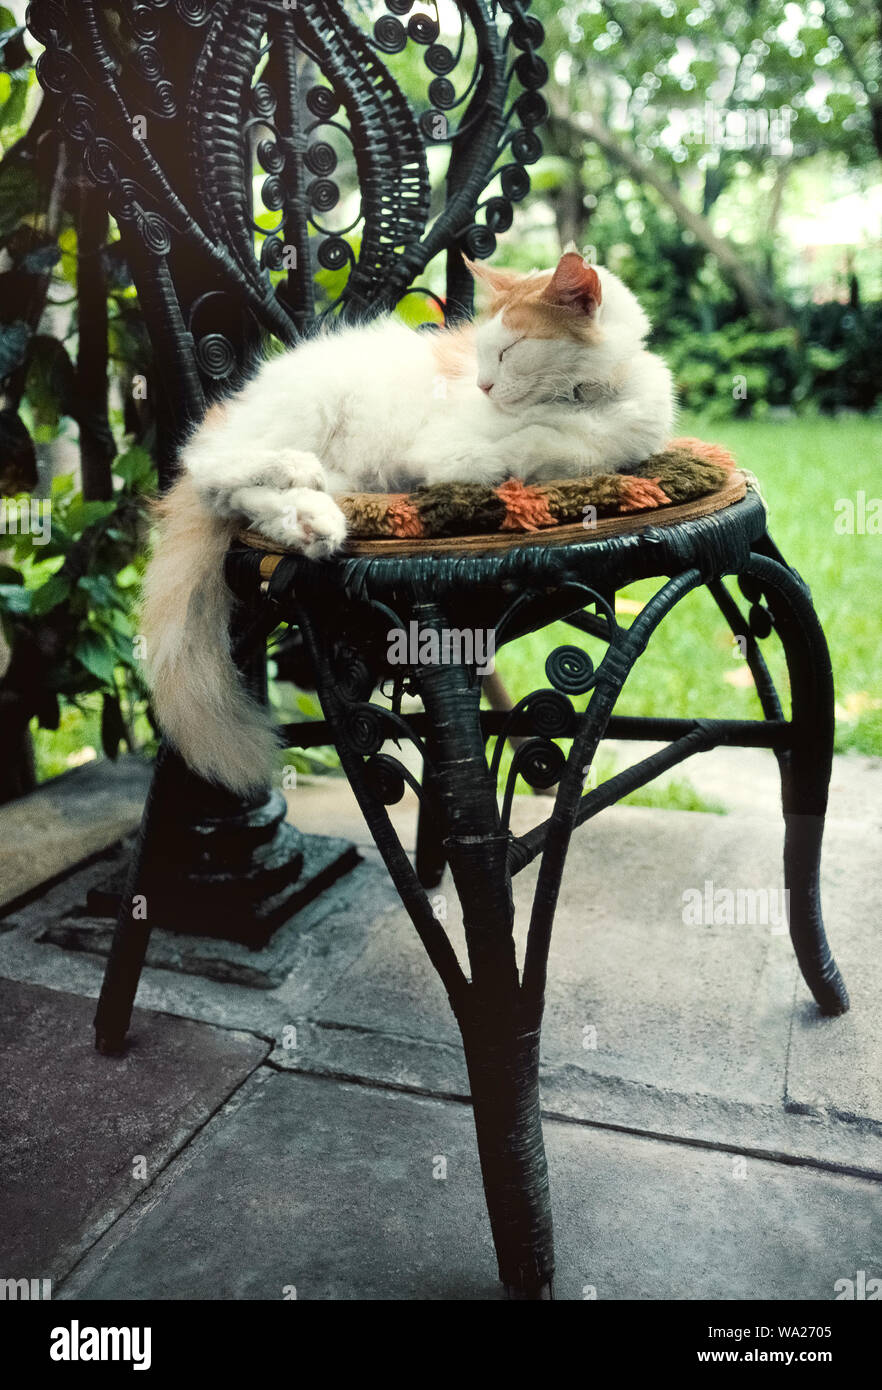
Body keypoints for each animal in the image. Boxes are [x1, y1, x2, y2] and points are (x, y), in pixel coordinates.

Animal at [145, 250, 672, 795]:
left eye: (510, 351)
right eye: (484, 354)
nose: (484, 385)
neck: (584, 400)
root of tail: (234, 407)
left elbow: (571, 454)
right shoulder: (450, 452)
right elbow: (517, 455)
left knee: (236, 498)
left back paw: (314, 521)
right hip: (306, 409)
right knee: (210, 469)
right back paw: (296, 473)